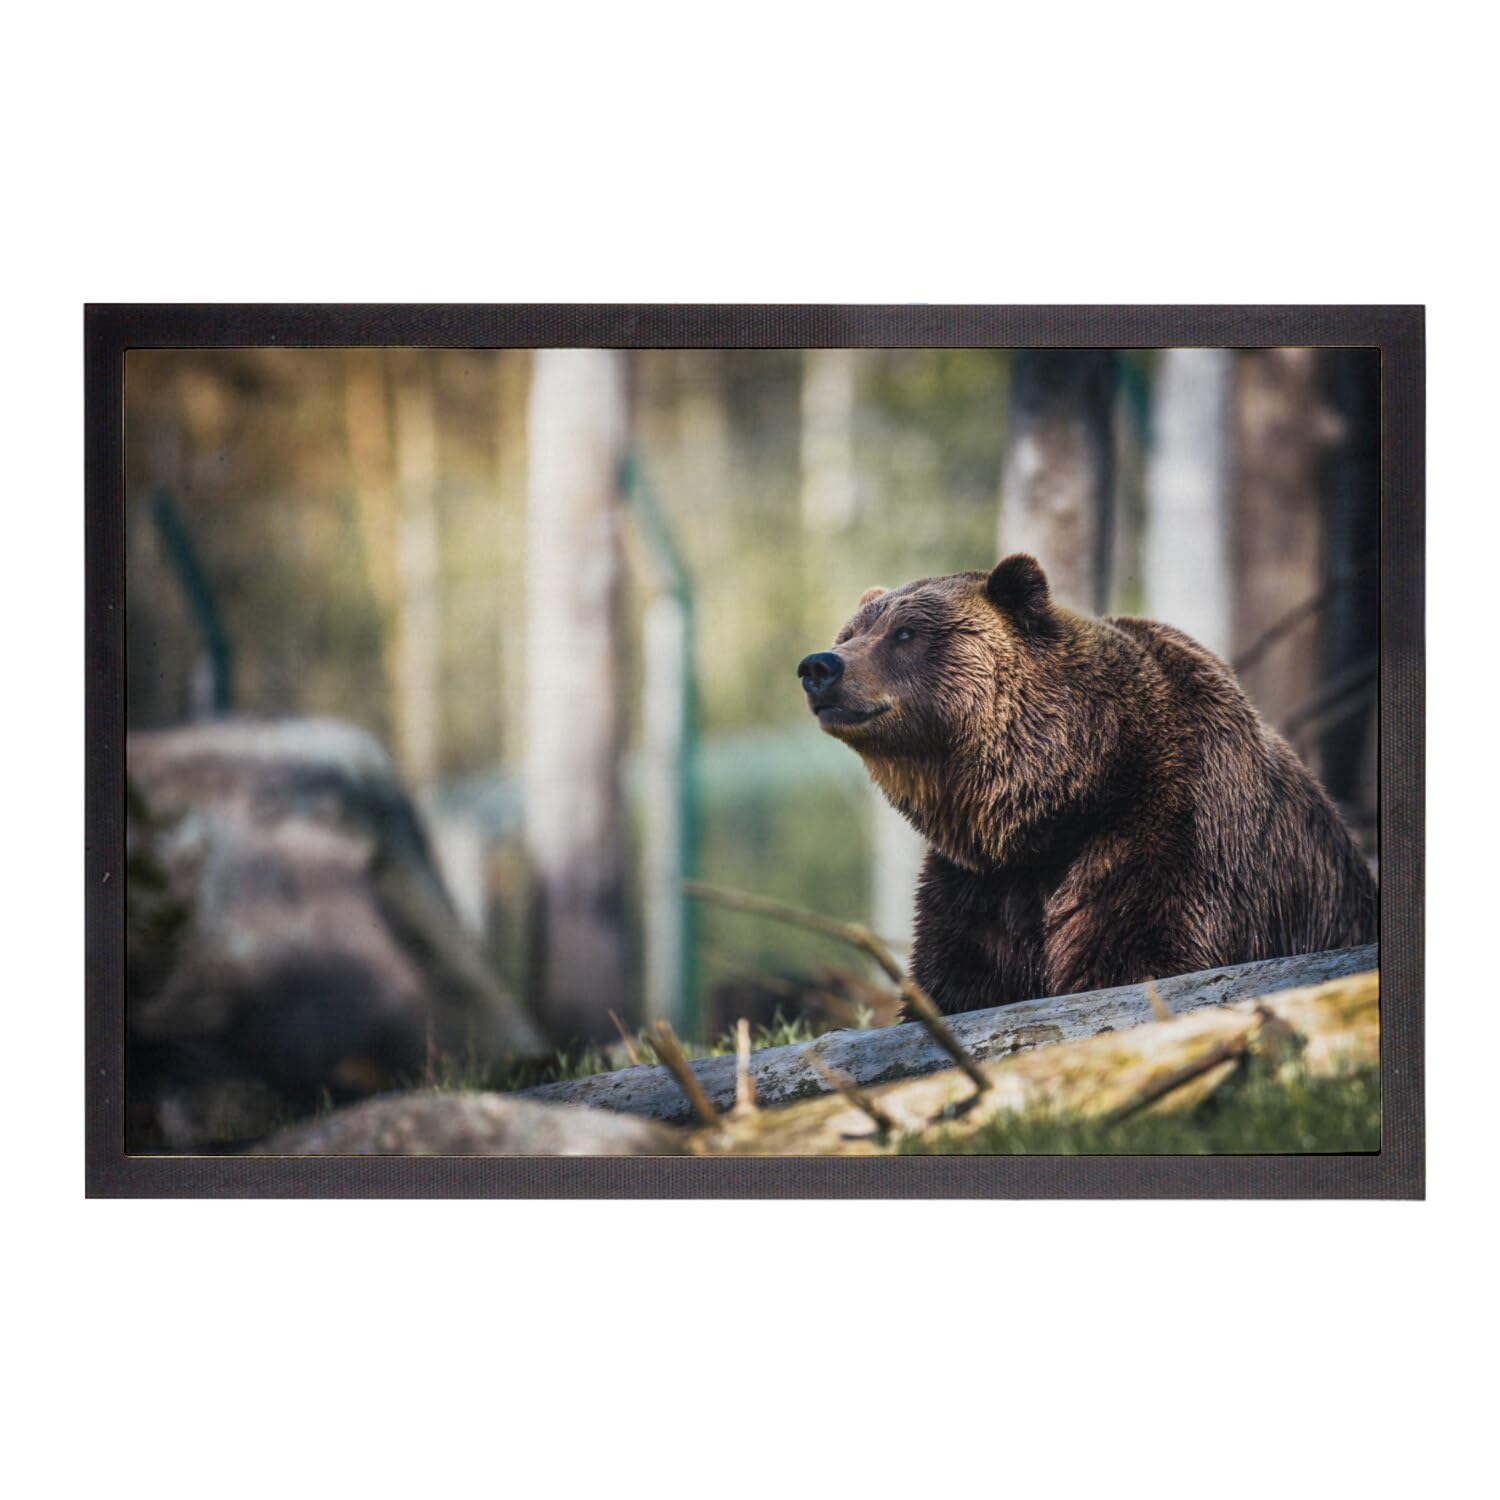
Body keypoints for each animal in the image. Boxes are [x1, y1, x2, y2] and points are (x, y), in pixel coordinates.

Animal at [796, 554, 1377, 1015]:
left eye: (905, 633)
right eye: (850, 634)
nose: (819, 666)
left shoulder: (1171, 830)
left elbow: (1137, 954)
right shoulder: (980, 886)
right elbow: (958, 979)